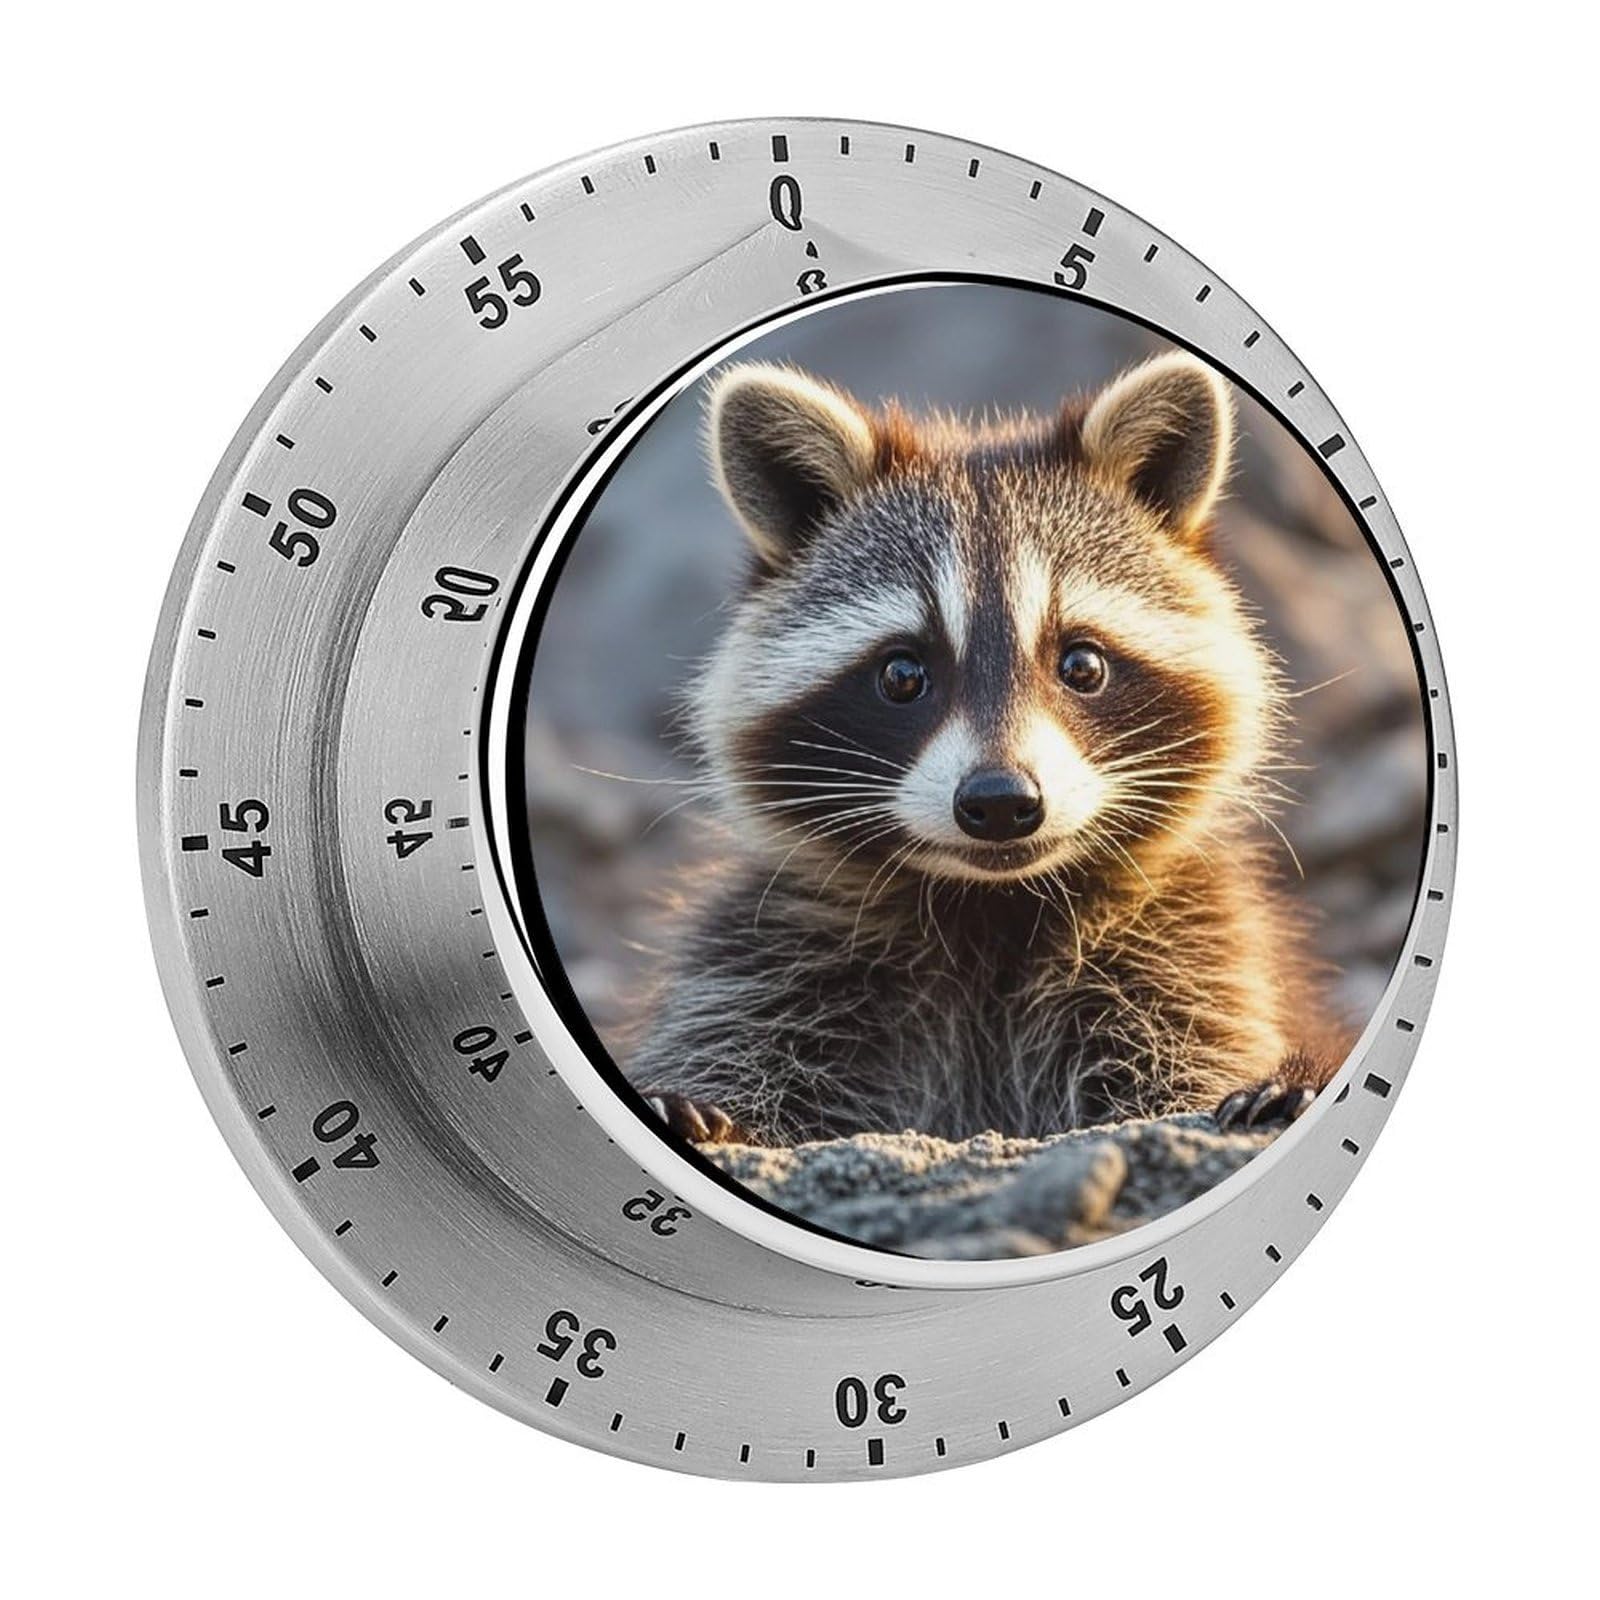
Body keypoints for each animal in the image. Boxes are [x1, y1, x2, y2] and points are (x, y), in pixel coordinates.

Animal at [624, 351, 1344, 1147]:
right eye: (902, 674)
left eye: (1082, 664)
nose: (1001, 803)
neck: (990, 909)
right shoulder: (763, 955)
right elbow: (728, 1044)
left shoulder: (1194, 950)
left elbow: (1196, 1063)